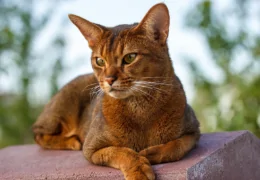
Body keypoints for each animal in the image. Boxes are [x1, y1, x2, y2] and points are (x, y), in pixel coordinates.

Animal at [32, 3, 199, 180]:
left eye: (130, 57)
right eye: (99, 61)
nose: (109, 79)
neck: (140, 108)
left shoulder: (194, 131)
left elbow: (177, 146)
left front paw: (151, 153)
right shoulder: (92, 148)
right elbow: (121, 152)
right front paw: (139, 170)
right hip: (63, 110)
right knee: (37, 133)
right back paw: (72, 141)